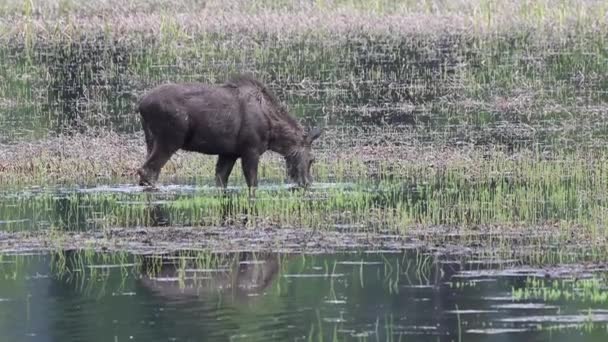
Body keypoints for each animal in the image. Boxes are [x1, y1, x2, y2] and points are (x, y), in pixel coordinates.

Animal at [134, 75, 324, 192]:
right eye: (312, 159)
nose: (307, 183)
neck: (273, 135)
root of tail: (140, 105)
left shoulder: (229, 153)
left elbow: (220, 180)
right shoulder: (251, 149)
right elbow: (253, 183)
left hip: (150, 140)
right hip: (169, 139)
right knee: (148, 170)